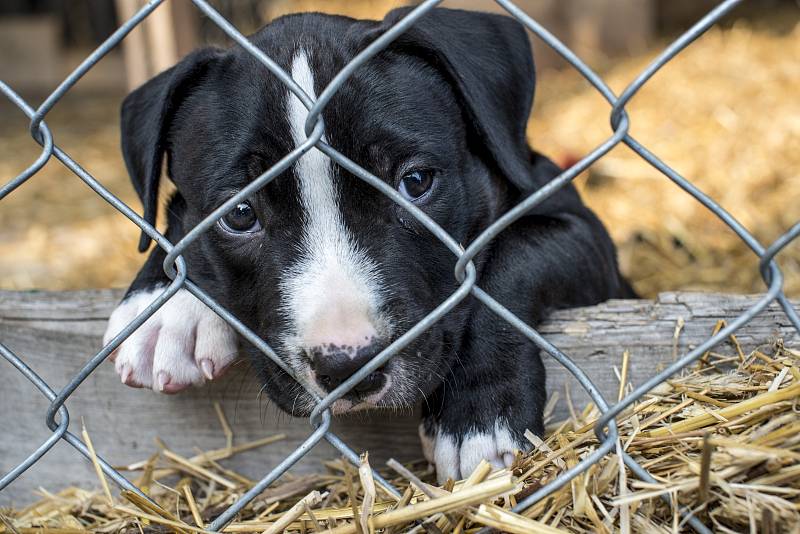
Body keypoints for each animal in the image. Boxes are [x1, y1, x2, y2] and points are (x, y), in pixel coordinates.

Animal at [104, 7, 632, 486]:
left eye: (415, 182)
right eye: (239, 215)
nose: (348, 365)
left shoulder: (585, 235)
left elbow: (512, 258)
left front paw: (478, 416)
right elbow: (176, 214)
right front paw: (164, 307)